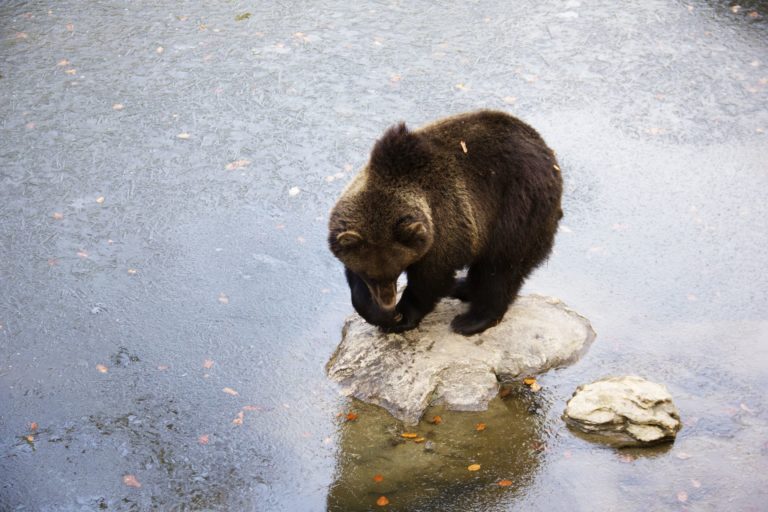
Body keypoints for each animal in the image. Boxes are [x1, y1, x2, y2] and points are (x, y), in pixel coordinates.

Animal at [328, 110, 563, 336]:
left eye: (397, 270)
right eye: (370, 275)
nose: (388, 302)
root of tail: (548, 152)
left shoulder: (445, 224)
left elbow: (431, 278)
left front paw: (401, 317)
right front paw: (378, 313)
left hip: (517, 206)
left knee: (499, 267)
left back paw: (471, 320)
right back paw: (462, 287)